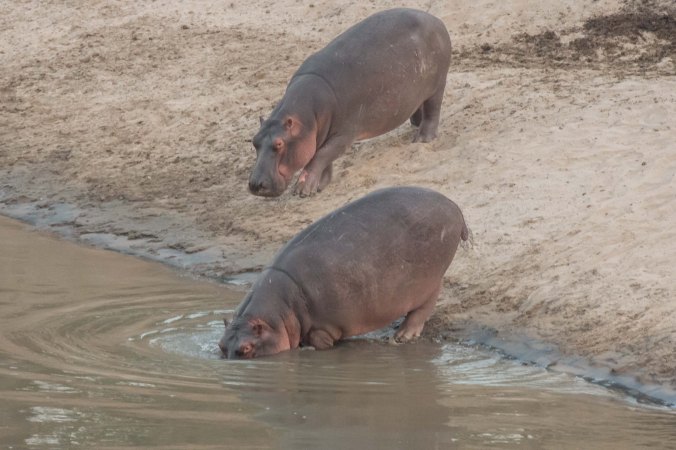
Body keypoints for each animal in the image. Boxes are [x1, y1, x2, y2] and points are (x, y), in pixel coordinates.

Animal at [219, 187, 468, 359]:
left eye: (245, 349)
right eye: (221, 346)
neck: (280, 314)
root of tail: (454, 205)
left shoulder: (322, 327)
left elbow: (319, 342)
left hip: (430, 280)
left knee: (423, 308)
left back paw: (402, 336)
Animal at [248, 8, 452, 197]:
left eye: (279, 144)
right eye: (254, 141)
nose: (256, 184)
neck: (306, 117)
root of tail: (436, 20)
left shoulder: (344, 134)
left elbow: (322, 155)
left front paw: (303, 189)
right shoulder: (321, 134)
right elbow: (322, 156)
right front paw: (320, 185)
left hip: (438, 82)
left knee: (433, 109)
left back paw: (422, 139)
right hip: (416, 90)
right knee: (419, 106)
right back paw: (415, 124)